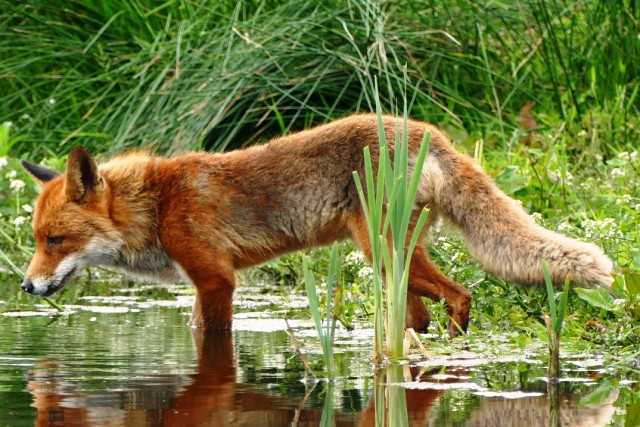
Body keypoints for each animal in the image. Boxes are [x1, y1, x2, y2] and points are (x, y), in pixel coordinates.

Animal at [17, 114, 612, 338]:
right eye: (37, 242)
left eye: (57, 241)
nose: (25, 286)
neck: (157, 206)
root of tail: (427, 130)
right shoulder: (204, 285)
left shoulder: (216, 281)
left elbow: (212, 338)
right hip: (394, 263)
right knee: (421, 315)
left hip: (383, 253)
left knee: (461, 295)